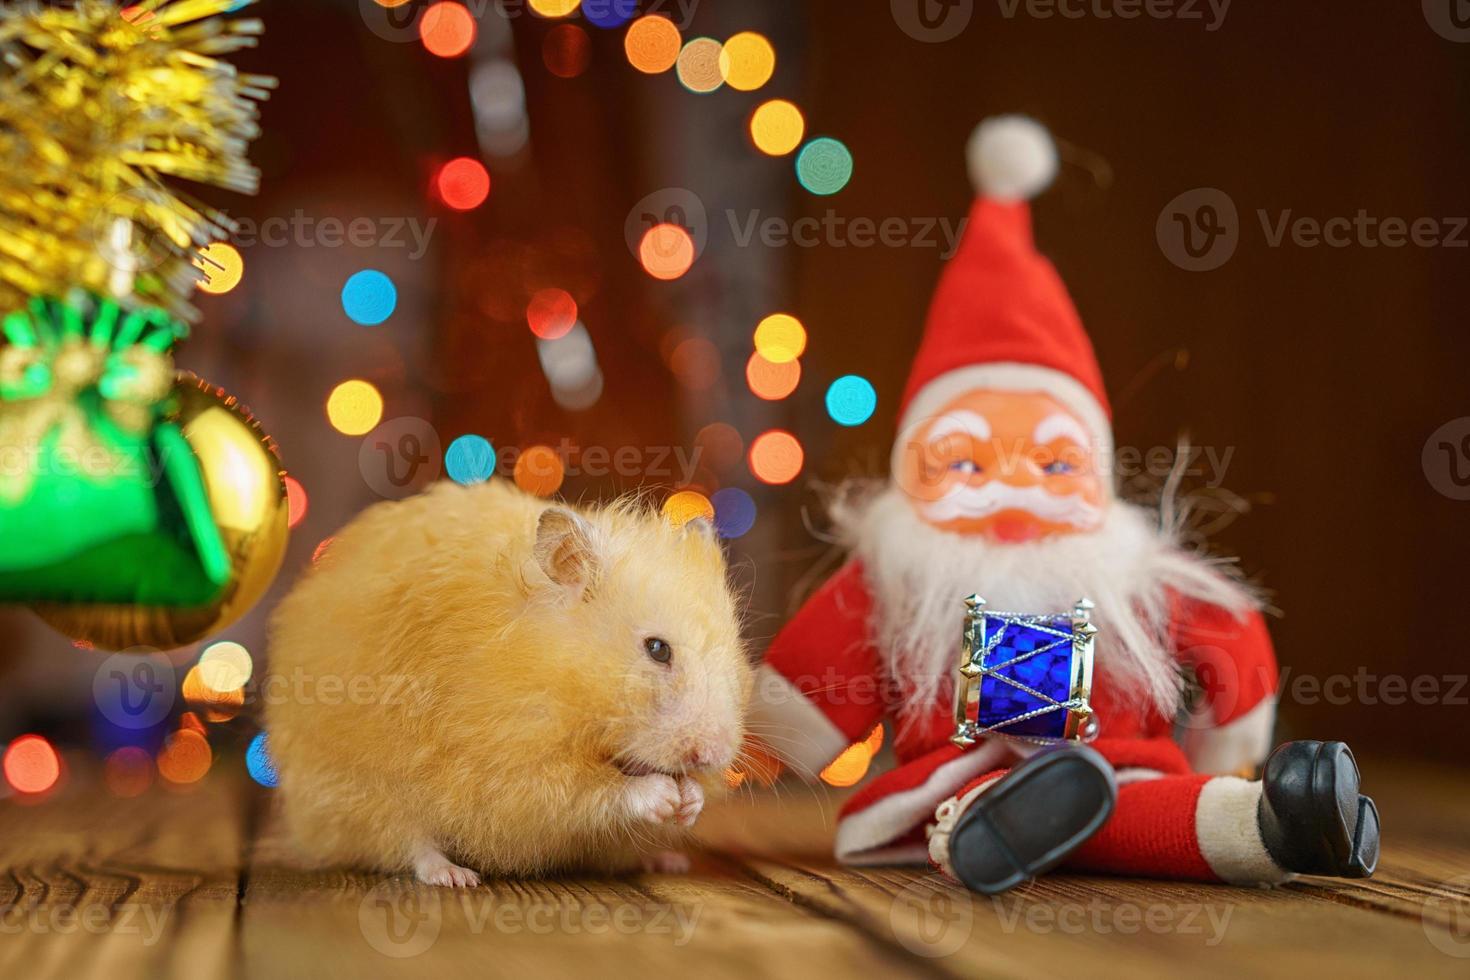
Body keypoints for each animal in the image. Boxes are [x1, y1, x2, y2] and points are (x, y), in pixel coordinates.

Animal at [261, 481, 746, 887]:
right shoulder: (514, 770)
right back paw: (455, 877)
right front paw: (664, 794)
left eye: (734, 652)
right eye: (657, 649)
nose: (713, 754)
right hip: (362, 793)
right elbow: (591, 791)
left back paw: (668, 860)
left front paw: (691, 800)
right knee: (406, 844)